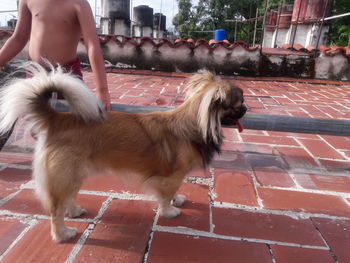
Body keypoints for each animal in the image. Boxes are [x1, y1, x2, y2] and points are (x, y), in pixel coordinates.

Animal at [0, 64, 246, 243]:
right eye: (238, 104)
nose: (246, 109)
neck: (194, 122)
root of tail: (57, 118)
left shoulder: (173, 176)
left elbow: (174, 191)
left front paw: (177, 199)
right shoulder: (170, 176)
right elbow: (166, 195)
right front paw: (169, 211)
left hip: (73, 175)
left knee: (66, 200)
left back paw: (75, 211)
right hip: (65, 175)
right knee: (55, 210)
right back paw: (62, 234)